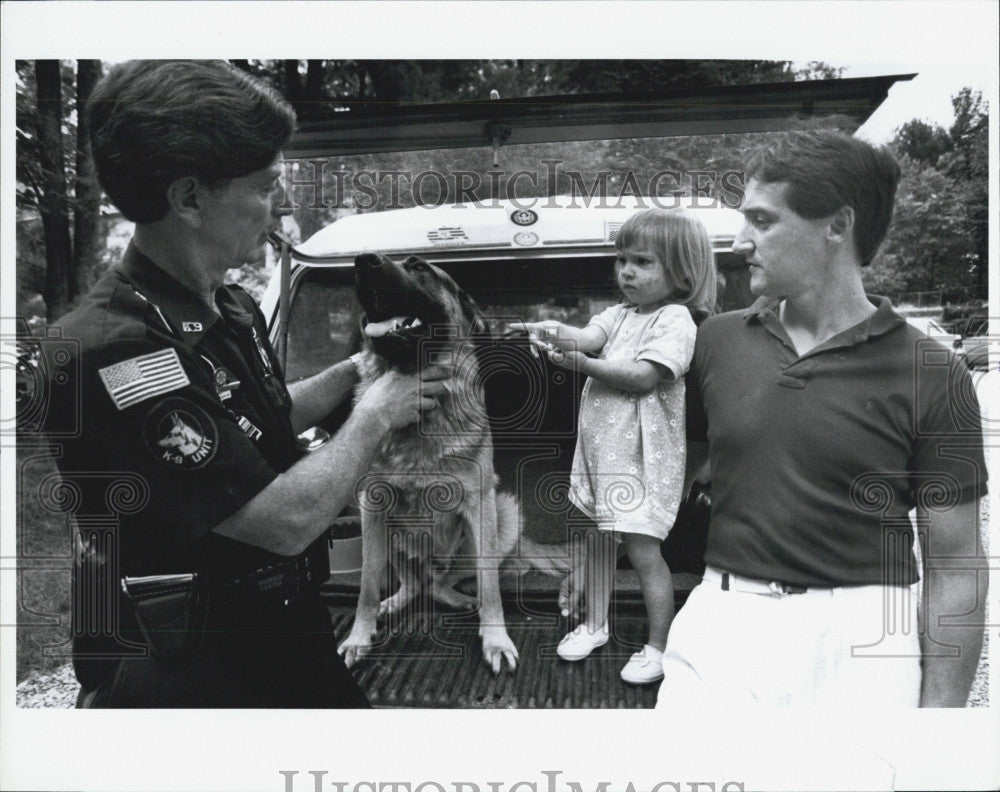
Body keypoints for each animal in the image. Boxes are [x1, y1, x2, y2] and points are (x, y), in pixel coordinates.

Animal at [338, 254, 568, 676]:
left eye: (418, 267)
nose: (363, 261)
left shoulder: (479, 504)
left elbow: (492, 589)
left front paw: (496, 640)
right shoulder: (371, 507)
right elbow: (366, 587)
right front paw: (359, 637)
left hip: (501, 514)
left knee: (453, 582)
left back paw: (466, 600)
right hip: (387, 535)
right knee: (418, 585)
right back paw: (396, 601)